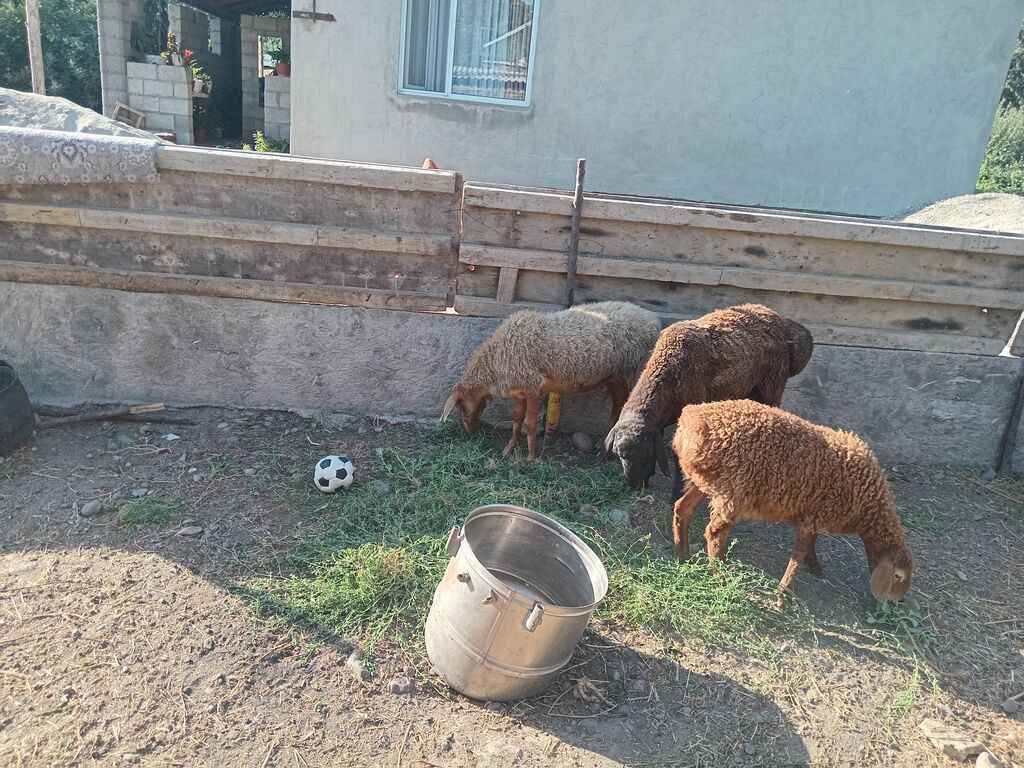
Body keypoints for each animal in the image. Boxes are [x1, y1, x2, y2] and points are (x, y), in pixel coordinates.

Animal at [441, 301, 662, 460]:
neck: (496, 360)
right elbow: (517, 421)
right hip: (613, 377)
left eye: (461, 407)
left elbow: (529, 425)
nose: (469, 431)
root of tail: (653, 320)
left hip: (632, 370)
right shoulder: (521, 391)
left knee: (624, 405)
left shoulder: (533, 387)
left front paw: (532, 457)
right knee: (618, 404)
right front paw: (508, 449)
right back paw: (602, 443)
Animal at [605, 303, 813, 490]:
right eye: (620, 454)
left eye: (648, 455)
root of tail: (781, 321)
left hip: (772, 386)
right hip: (749, 390)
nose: (634, 486)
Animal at [671, 399, 914, 603]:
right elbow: (798, 556)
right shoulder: (814, 518)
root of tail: (690, 422)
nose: (895, 602)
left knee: (682, 509)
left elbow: (810, 546)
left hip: (706, 483)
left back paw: (683, 557)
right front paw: (782, 594)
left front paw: (814, 566)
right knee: (715, 533)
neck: (867, 507)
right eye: (898, 576)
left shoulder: (812, 514)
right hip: (733, 492)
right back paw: (721, 578)